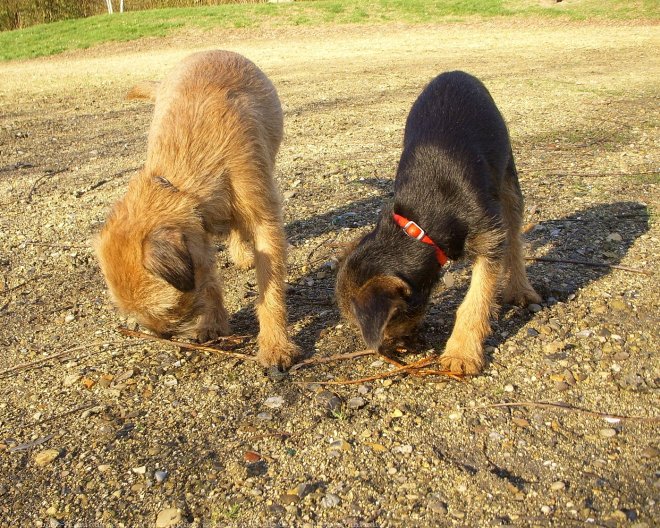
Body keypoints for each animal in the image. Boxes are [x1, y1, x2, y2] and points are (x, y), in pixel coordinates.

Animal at [94, 51, 300, 370]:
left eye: (169, 308)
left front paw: (275, 345)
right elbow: (210, 278)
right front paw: (212, 323)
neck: (178, 180)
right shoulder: (198, 232)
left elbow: (270, 290)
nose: (163, 335)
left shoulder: (265, 221)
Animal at [338, 71, 540, 376]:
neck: (419, 225)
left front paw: (462, 352)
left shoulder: (488, 237)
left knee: (514, 234)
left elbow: (476, 298)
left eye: (392, 318)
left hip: (507, 176)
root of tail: (456, 73)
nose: (399, 348)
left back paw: (520, 288)